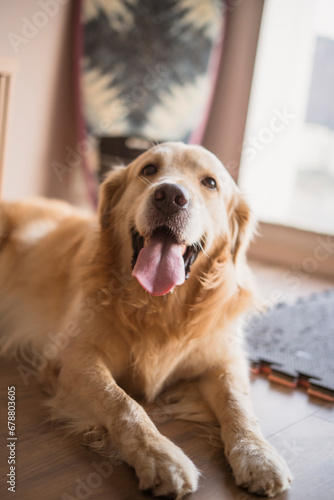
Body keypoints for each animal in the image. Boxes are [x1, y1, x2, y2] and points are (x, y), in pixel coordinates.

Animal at [0, 143, 290, 498]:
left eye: (209, 182)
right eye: (149, 170)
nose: (170, 196)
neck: (159, 306)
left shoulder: (223, 359)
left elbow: (239, 403)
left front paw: (259, 455)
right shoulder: (72, 357)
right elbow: (123, 403)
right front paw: (160, 457)